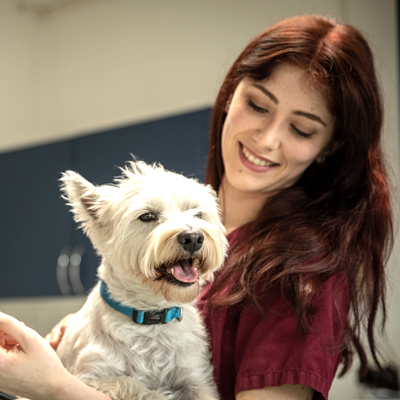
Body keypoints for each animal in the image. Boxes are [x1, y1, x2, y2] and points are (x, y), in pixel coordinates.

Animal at [55, 160, 228, 400]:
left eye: (197, 213)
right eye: (147, 216)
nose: (193, 237)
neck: (151, 319)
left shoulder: (197, 376)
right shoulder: (88, 377)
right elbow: (131, 384)